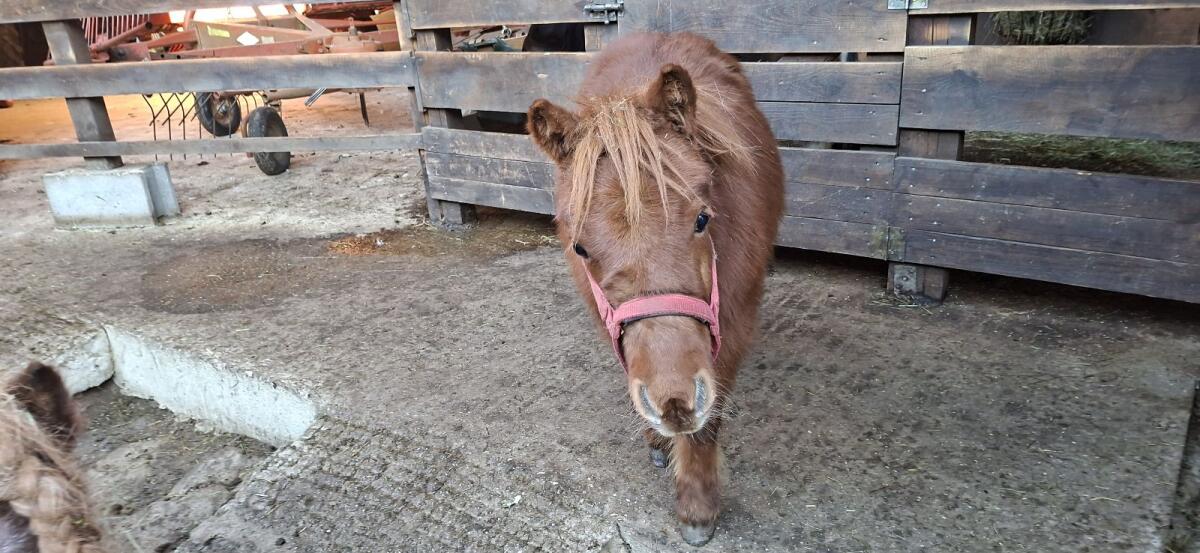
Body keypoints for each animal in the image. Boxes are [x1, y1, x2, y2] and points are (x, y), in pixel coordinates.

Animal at [527, 32, 783, 545]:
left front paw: (698, 507)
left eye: (702, 219)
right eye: (580, 247)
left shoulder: (732, 324)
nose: (674, 401)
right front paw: (661, 439)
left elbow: (708, 421)